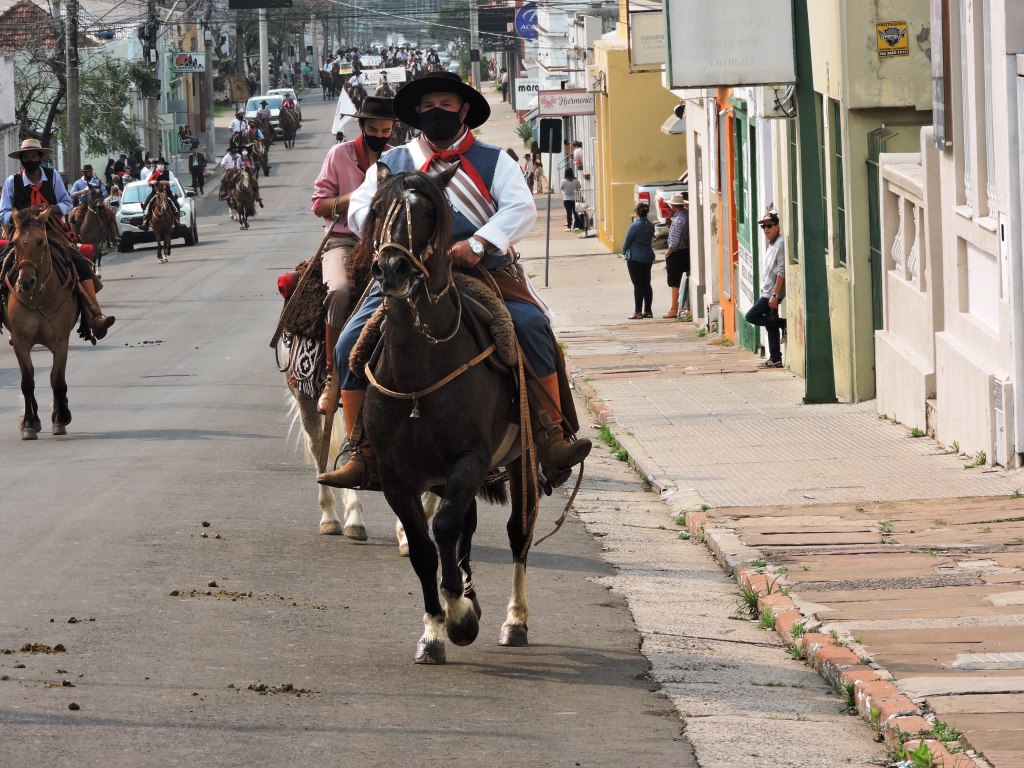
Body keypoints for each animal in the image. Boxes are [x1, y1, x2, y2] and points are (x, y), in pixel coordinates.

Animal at [352, 165, 540, 663]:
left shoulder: (470, 460)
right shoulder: (396, 476)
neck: (419, 371)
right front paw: (435, 629)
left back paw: (515, 620)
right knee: (464, 530)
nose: (391, 269)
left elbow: (445, 526)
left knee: (517, 531)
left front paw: (460, 615)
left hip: (520, 461)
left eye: (427, 211)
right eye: (377, 209)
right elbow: (424, 545)